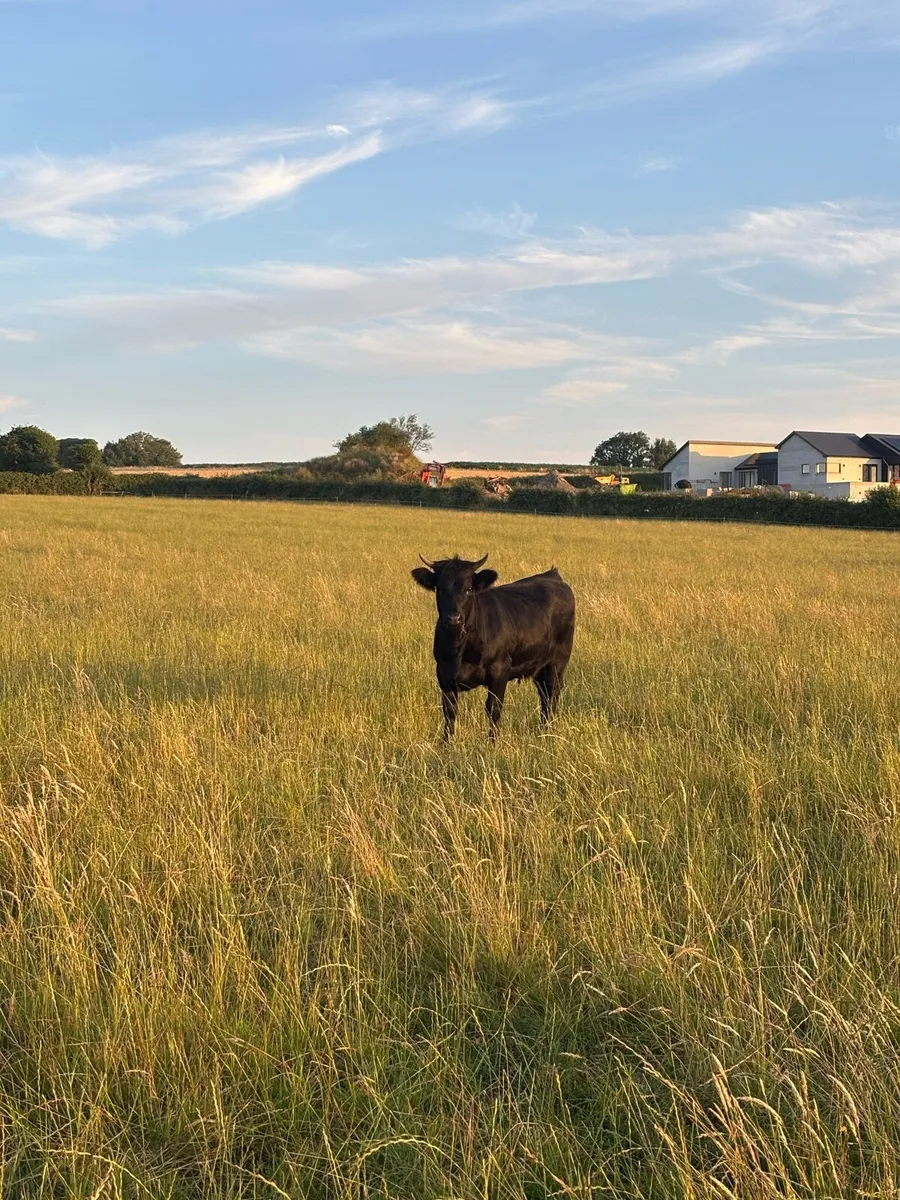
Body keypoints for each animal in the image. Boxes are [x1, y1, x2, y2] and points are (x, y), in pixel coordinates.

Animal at [411, 553, 576, 740]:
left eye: (468, 589)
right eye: (439, 589)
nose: (453, 619)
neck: (460, 648)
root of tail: (552, 575)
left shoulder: (499, 671)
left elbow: (493, 709)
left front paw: (492, 742)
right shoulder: (444, 674)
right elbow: (449, 711)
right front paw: (447, 742)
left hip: (557, 662)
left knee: (552, 693)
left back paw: (548, 731)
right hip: (539, 667)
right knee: (544, 695)